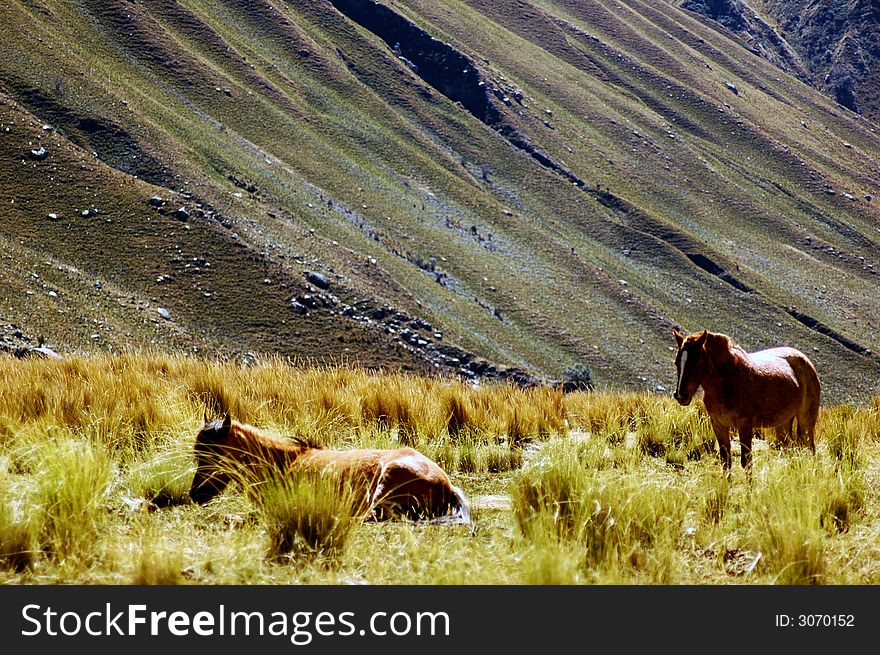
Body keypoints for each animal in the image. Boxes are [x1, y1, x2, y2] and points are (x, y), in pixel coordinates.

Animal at [672, 330, 824, 474]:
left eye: (696, 361)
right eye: (677, 362)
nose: (681, 395)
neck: (727, 381)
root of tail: (806, 362)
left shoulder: (744, 425)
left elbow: (746, 462)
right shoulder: (718, 425)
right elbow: (725, 462)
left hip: (806, 421)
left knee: (811, 450)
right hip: (783, 424)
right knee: (789, 450)